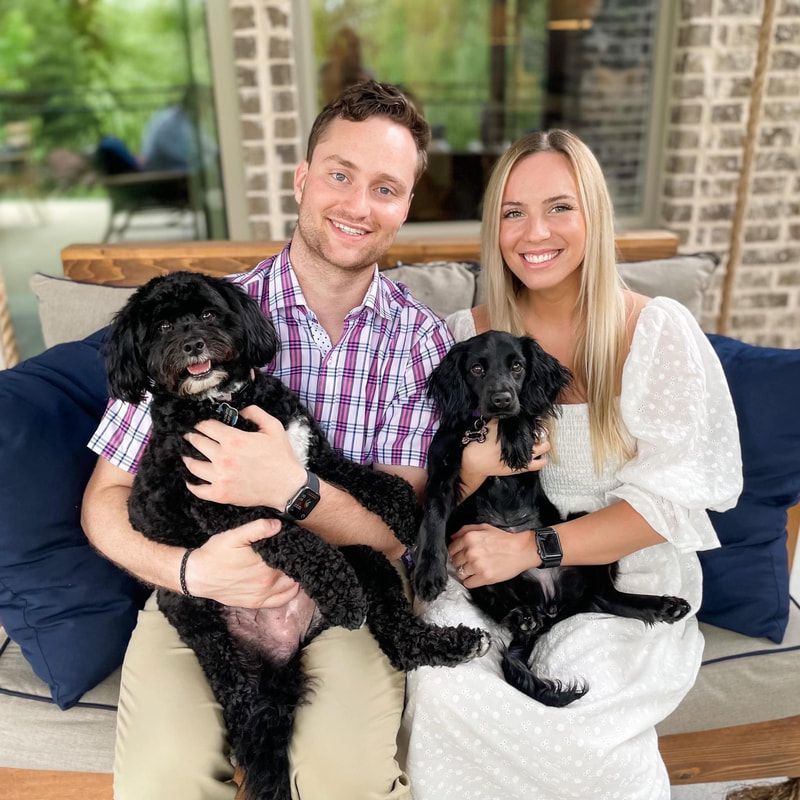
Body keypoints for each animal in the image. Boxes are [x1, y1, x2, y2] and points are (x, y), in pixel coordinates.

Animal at [106, 274, 490, 800]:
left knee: (397, 638)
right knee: (248, 714)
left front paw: (405, 511)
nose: (193, 345)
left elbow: (362, 477)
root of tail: (279, 654)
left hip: (370, 560)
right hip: (203, 626)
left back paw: (453, 643)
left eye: (207, 314)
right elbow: (298, 542)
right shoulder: (227, 509)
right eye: (162, 326)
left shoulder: (311, 459)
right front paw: (344, 594)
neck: (227, 404)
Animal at [412, 330, 688, 708]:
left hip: (580, 529)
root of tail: (551, 606)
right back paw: (523, 616)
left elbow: (524, 414)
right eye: (476, 369)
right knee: (511, 605)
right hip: (480, 575)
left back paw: (664, 606)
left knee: (605, 596)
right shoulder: (443, 466)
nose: (501, 400)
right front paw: (428, 572)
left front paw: (515, 437)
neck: (484, 425)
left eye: (517, 366)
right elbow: (434, 513)